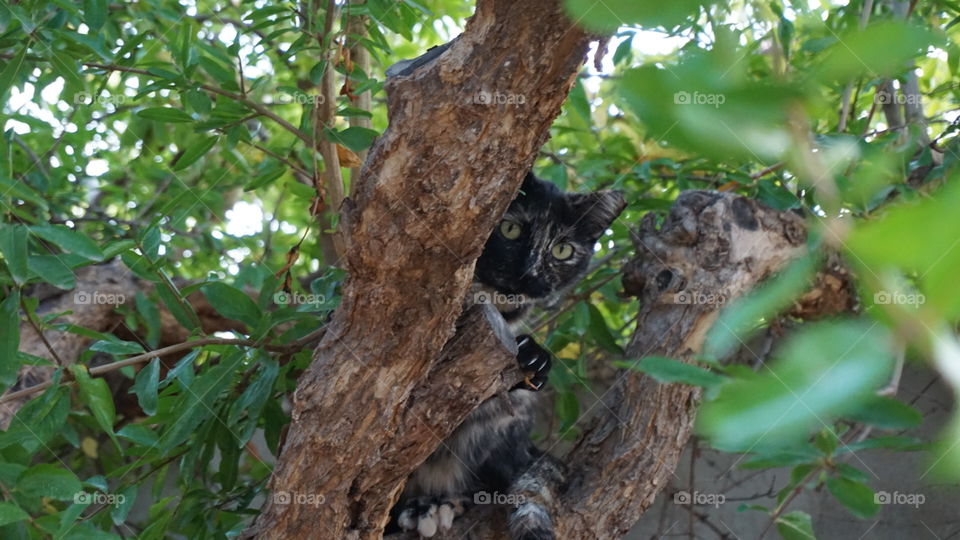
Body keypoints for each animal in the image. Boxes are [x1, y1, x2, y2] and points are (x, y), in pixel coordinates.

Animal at [392, 173, 628, 540]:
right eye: (509, 229)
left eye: (562, 250)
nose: (529, 275)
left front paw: (535, 358)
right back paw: (421, 508)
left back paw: (443, 503)